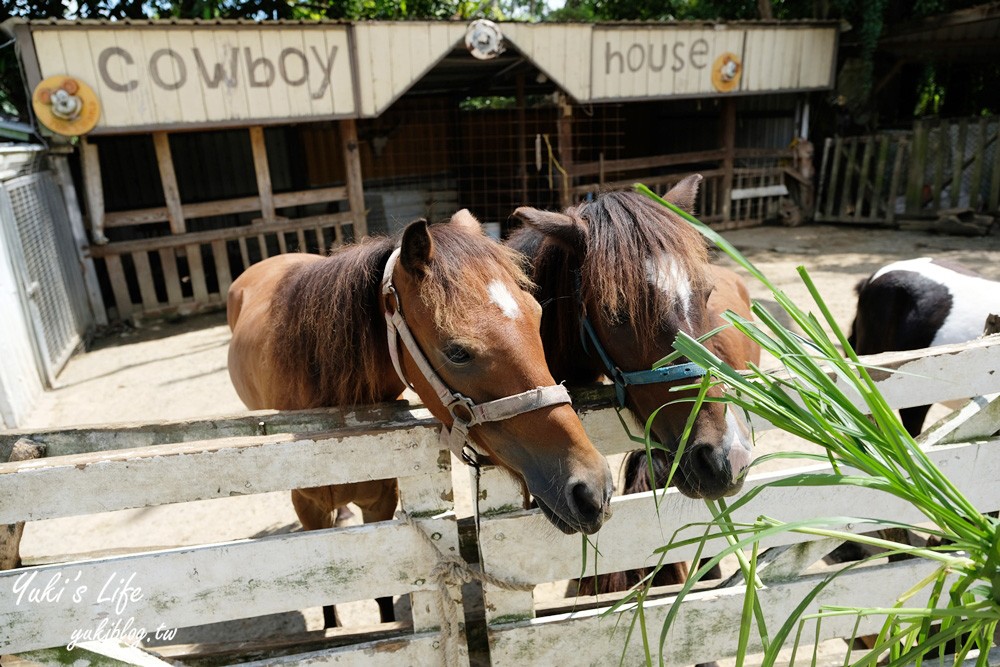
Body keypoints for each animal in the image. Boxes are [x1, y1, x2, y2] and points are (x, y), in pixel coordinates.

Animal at [229, 209, 612, 628]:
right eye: (457, 352)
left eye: (538, 315)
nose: (591, 489)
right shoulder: (310, 513)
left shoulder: (381, 504)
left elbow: (383, 598)